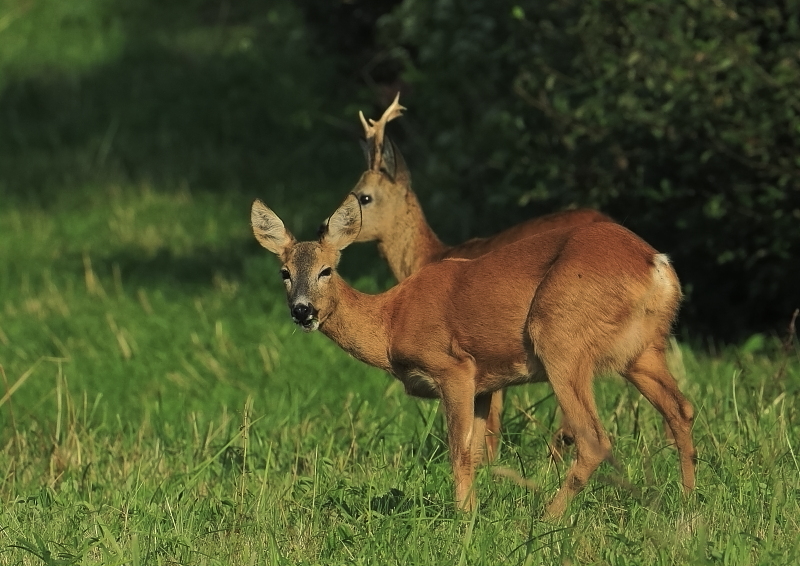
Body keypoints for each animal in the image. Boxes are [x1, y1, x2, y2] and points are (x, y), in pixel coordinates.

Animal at [253, 194, 696, 520]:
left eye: (327, 270)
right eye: (284, 273)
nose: (303, 311)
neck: (390, 322)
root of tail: (657, 265)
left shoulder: (454, 368)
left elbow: (459, 450)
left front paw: (463, 519)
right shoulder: (486, 383)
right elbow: (481, 451)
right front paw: (478, 512)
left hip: (560, 336)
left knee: (592, 437)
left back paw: (545, 518)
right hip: (642, 351)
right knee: (681, 408)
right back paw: (688, 506)